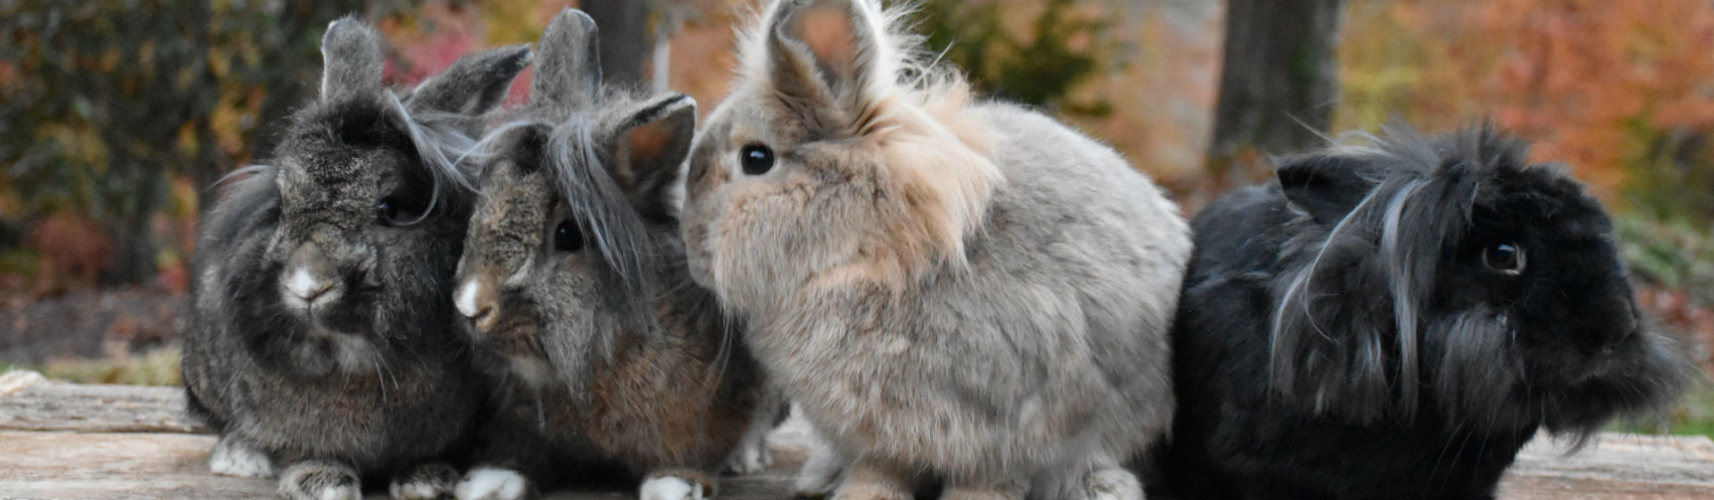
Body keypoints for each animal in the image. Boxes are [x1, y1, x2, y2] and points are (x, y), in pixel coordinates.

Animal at [178, 17, 530, 500]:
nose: (308, 283)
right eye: (282, 204)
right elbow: (301, 450)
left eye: (392, 208)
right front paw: (321, 483)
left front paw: (428, 481)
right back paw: (239, 456)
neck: (350, 357)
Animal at [446, 9, 778, 500]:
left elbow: (693, 454)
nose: (470, 305)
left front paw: (673, 486)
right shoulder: (518, 426)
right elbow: (514, 453)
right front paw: (486, 483)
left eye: (568, 234)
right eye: (480, 207)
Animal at [670, 0, 1191, 498]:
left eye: (756, 158)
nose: (693, 256)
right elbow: (881, 470)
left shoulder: (1007, 430)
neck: (875, 256)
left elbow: (988, 480)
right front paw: (863, 495)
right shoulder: (878, 433)